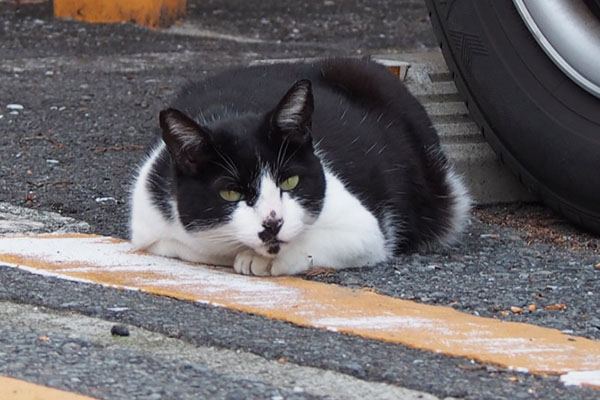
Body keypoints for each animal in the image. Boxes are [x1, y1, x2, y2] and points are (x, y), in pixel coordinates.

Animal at [129, 57, 472, 276]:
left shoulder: (366, 230)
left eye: (289, 182)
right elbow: (190, 245)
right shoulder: (149, 225)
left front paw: (258, 260)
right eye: (230, 193)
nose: (273, 223)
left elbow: (318, 241)